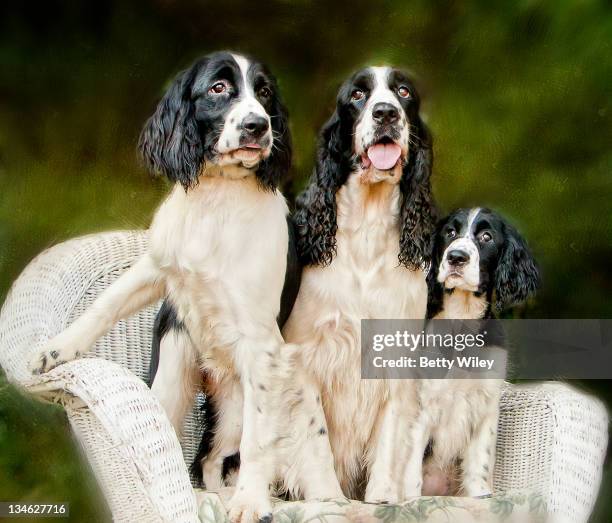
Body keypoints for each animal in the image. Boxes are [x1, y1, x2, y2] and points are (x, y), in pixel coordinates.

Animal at [28, 50, 302, 523]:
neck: (217, 201)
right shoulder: (156, 267)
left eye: (265, 92)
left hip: (232, 405)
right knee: (184, 448)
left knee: (215, 458)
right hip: (174, 372)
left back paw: (230, 496)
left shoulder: (262, 343)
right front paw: (55, 350)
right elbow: (105, 303)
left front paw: (250, 502)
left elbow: (257, 440)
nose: (258, 125)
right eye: (218, 88)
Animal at [280, 66, 436, 504]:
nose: (386, 113)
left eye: (404, 92)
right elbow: (314, 438)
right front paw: (328, 499)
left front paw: (382, 500)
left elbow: (390, 439)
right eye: (357, 95)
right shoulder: (304, 359)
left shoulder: (397, 360)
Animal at [406, 208, 540, 500]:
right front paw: (409, 500)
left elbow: (480, 459)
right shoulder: (422, 403)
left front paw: (480, 497)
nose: (456, 257)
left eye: (486, 236)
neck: (463, 321)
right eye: (450, 232)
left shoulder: (486, 403)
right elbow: (410, 464)